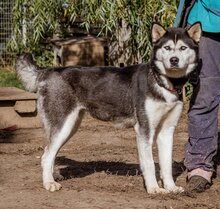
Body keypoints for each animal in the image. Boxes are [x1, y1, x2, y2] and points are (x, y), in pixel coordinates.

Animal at [15, 22, 201, 194]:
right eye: (167, 47)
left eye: (183, 48)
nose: (174, 60)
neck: (162, 82)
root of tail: (48, 71)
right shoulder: (144, 130)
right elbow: (148, 164)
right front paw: (154, 189)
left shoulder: (167, 131)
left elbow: (167, 165)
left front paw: (171, 187)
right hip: (63, 126)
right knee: (46, 155)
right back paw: (49, 183)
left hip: (70, 127)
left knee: (51, 153)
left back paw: (54, 176)